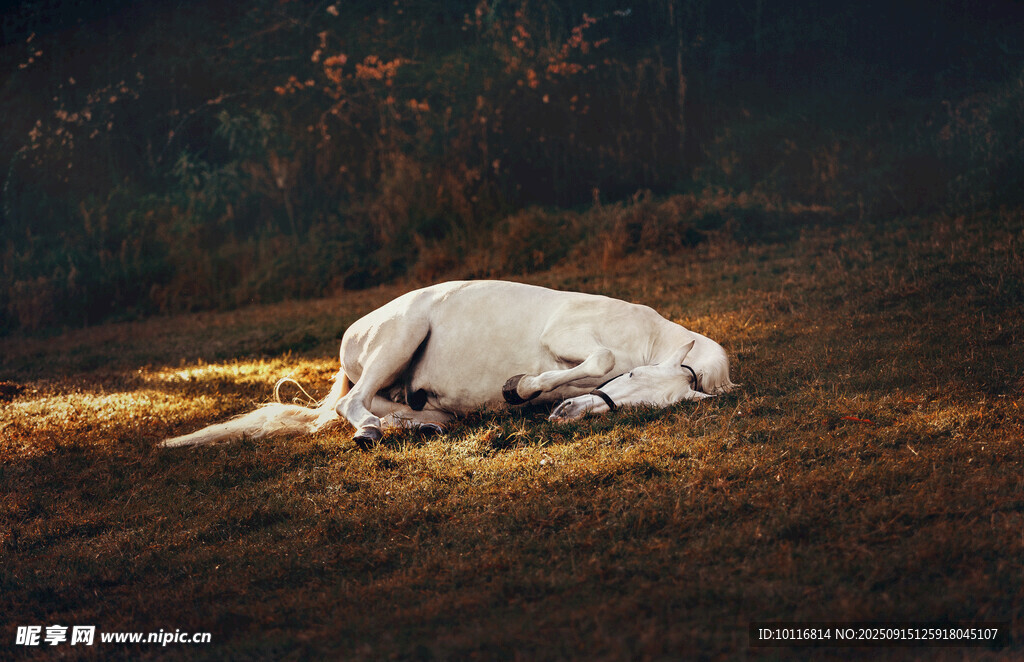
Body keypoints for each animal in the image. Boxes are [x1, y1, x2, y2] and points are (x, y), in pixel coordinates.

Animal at [159, 280, 735, 449]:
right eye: (630, 379)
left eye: (641, 408)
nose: (565, 416)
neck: (647, 335)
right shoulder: (568, 337)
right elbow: (597, 358)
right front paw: (520, 386)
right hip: (400, 336)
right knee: (352, 405)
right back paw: (370, 432)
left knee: (394, 407)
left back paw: (415, 425)